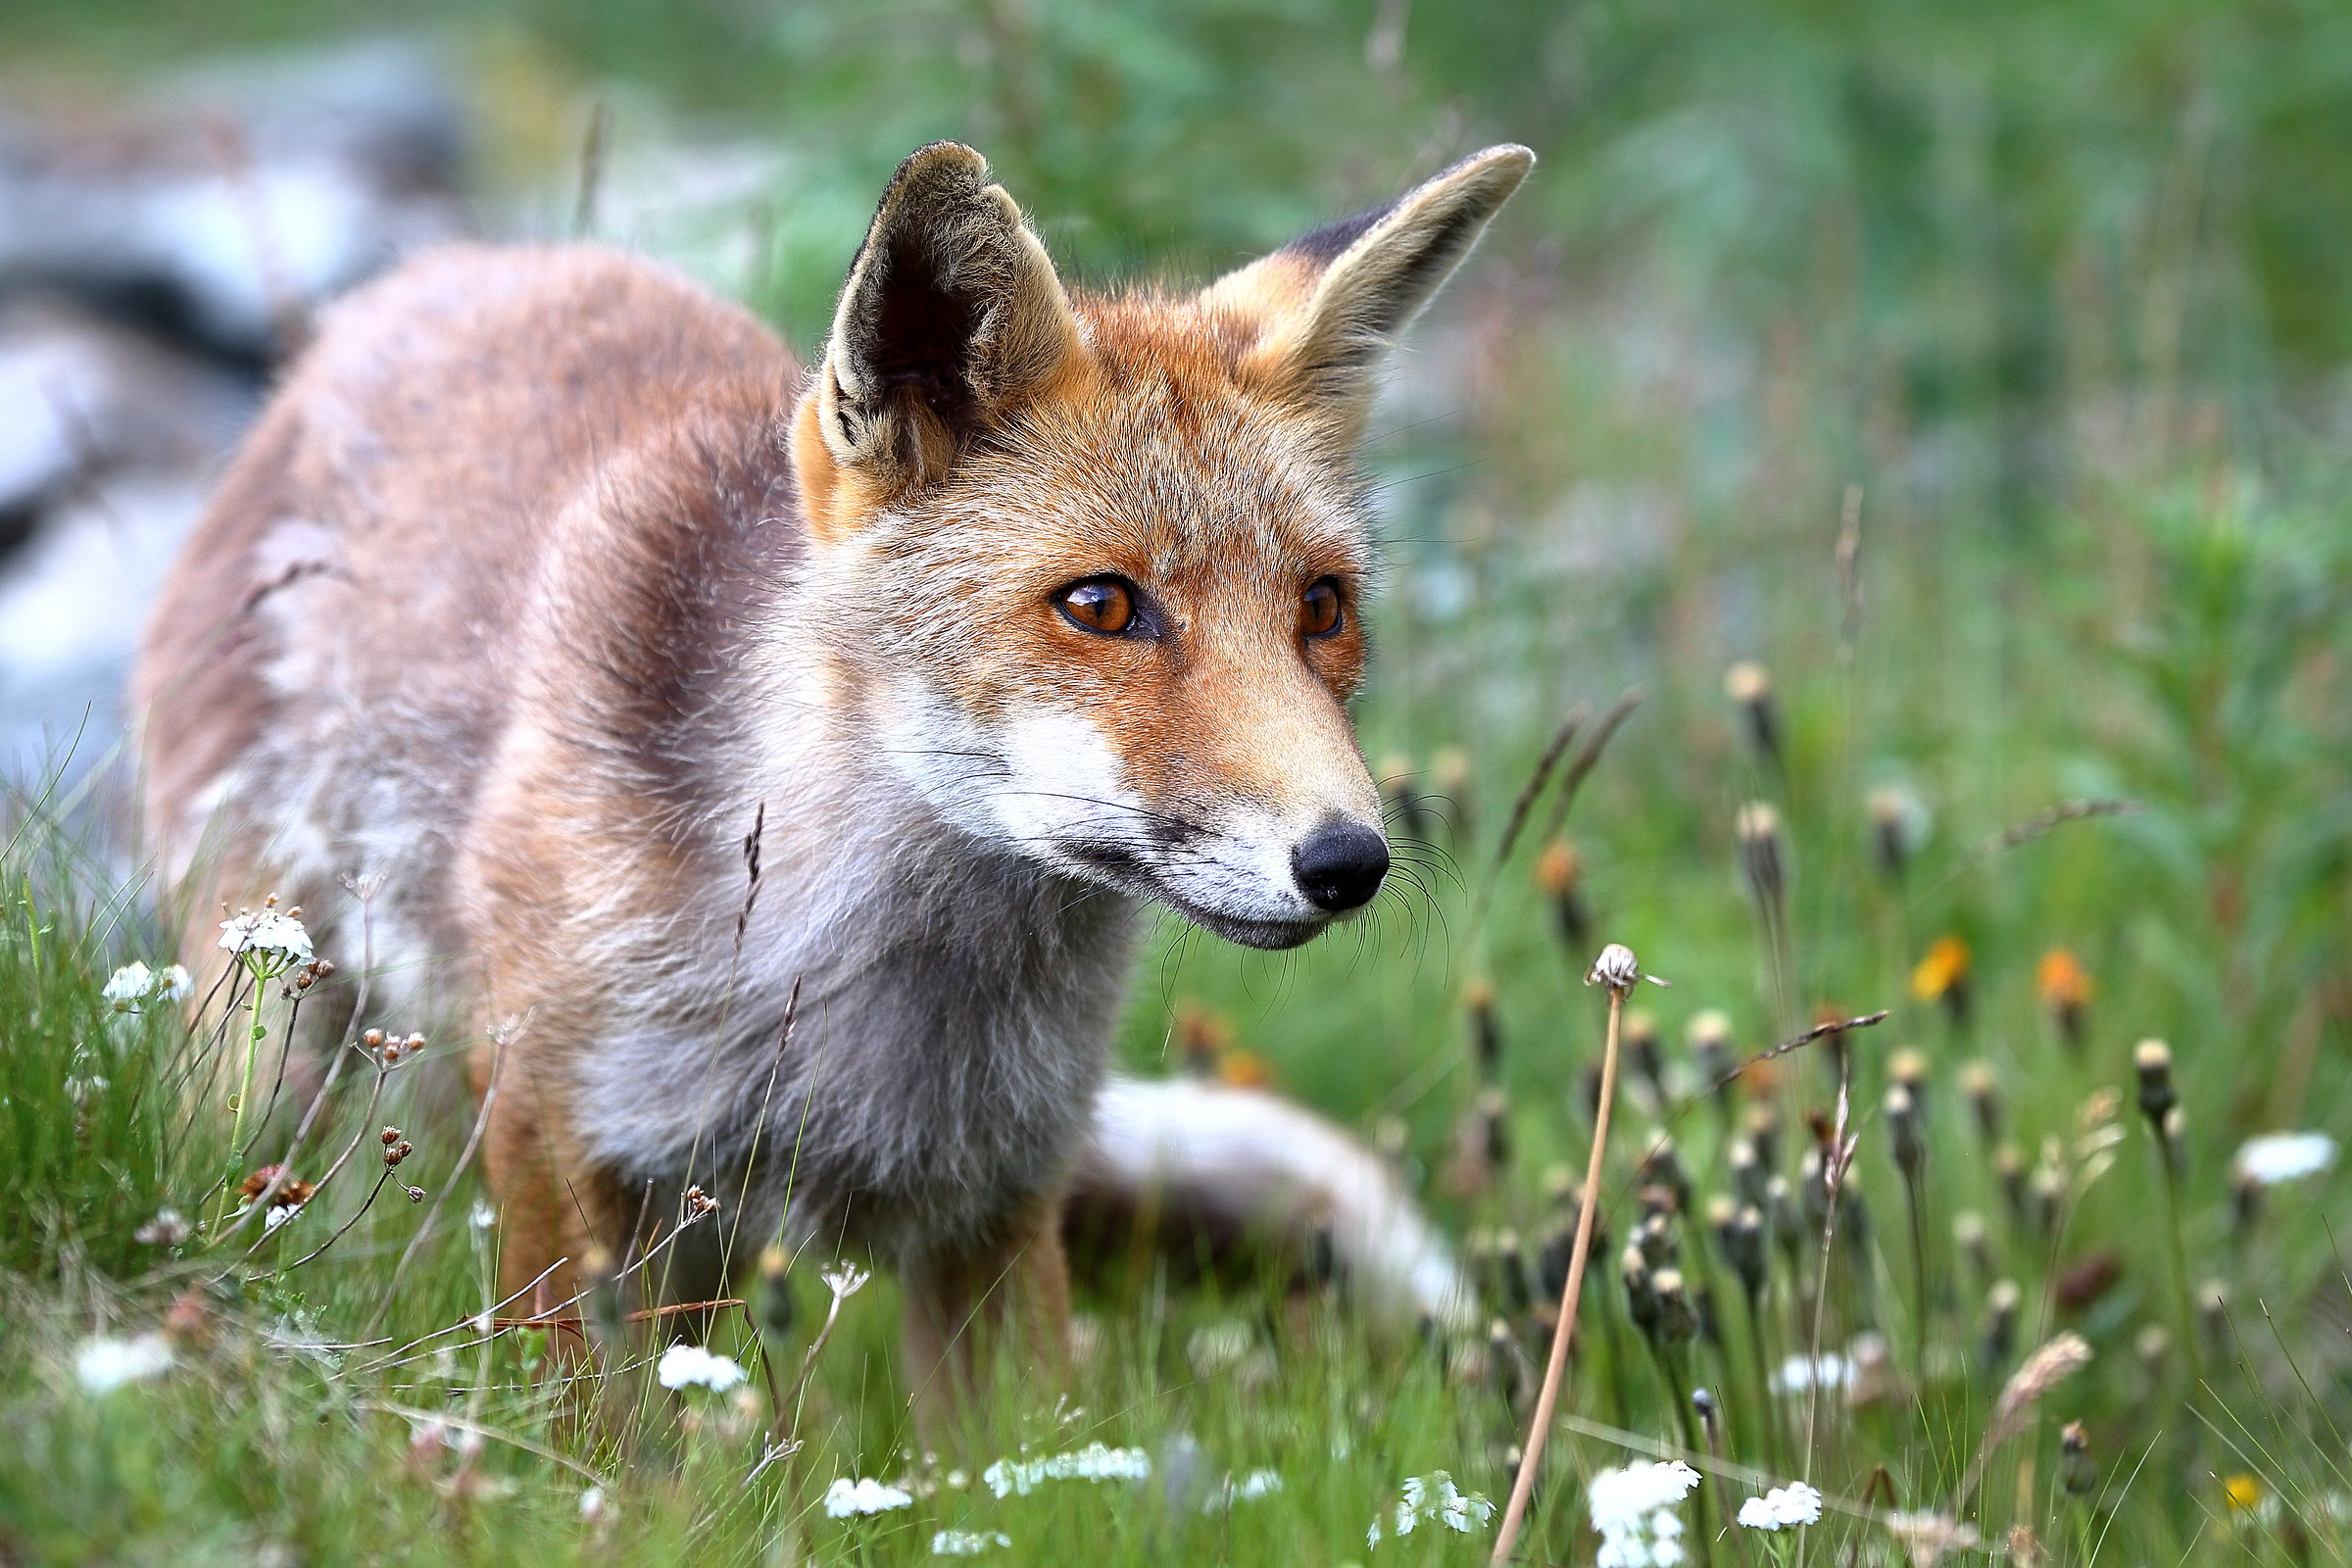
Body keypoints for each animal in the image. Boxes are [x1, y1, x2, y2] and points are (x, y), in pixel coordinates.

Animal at [132, 139, 1531, 1415]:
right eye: (1101, 604)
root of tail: (421, 283)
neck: (855, 1003)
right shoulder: (548, 1127)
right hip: (274, 1040)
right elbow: (586, 1449)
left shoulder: (1001, 1199)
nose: (1350, 861)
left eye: (1323, 606)